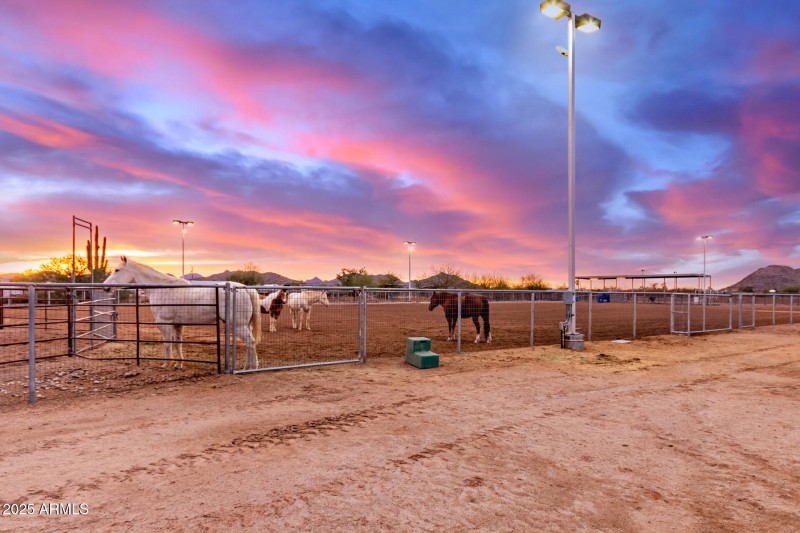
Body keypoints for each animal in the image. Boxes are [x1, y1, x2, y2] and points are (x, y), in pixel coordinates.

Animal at [103, 257, 262, 370]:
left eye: (117, 270)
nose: (105, 288)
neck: (161, 289)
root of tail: (246, 289)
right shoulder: (177, 324)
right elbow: (178, 343)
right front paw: (178, 364)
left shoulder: (164, 323)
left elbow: (167, 344)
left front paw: (166, 364)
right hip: (244, 325)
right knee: (250, 343)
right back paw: (248, 366)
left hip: (239, 325)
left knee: (250, 342)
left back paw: (251, 368)